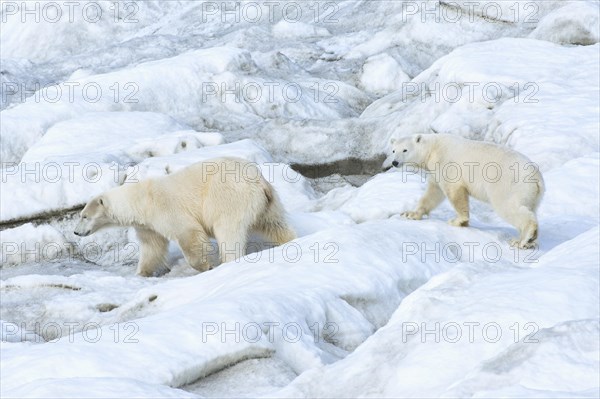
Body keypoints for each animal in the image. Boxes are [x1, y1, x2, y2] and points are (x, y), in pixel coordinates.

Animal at [74, 158, 296, 276]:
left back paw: (228, 261)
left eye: (84, 216)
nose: (76, 232)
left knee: (228, 231)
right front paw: (141, 272)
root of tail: (259, 181)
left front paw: (205, 265)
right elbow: (152, 247)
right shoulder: (147, 224)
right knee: (274, 225)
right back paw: (290, 241)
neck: (141, 200)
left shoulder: (164, 208)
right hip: (267, 203)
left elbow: (188, 233)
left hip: (227, 197)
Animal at [384, 134, 544, 248]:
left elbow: (454, 191)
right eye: (393, 150)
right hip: (532, 193)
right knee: (529, 208)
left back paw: (524, 238)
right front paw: (410, 214)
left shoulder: (446, 164)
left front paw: (457, 221)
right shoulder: (435, 172)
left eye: (405, 150)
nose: (394, 162)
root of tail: (537, 177)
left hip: (508, 184)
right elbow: (433, 193)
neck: (433, 148)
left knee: (508, 207)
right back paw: (527, 241)